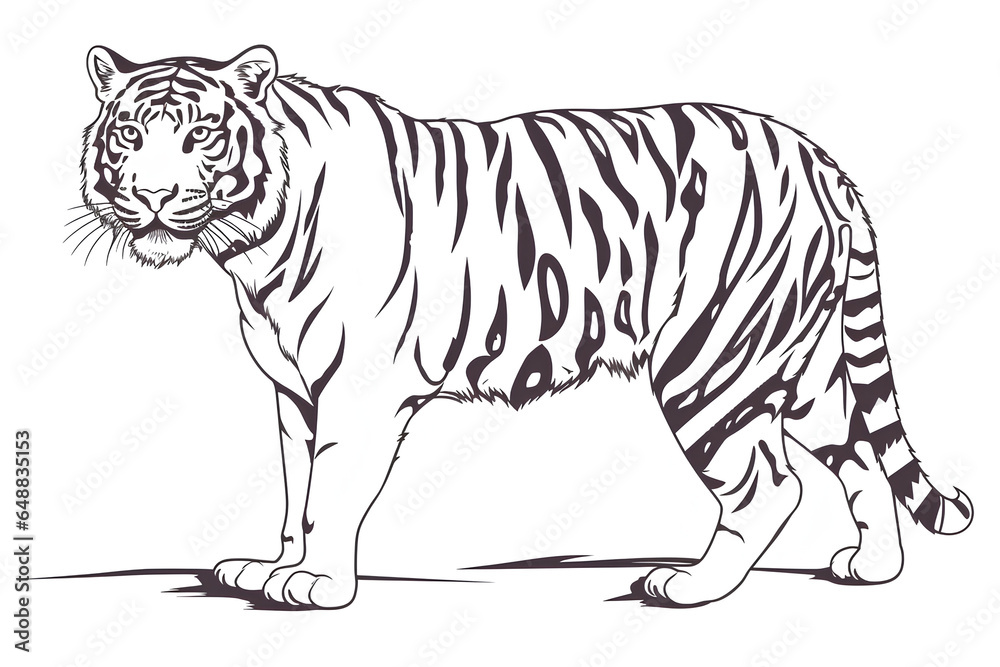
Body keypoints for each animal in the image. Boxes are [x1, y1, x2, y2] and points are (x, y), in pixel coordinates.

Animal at [76, 45, 972, 609]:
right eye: (130, 134)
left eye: (199, 135)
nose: (152, 196)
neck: (252, 249)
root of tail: (821, 158)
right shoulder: (295, 393)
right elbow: (296, 489)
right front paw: (271, 566)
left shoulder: (357, 395)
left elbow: (331, 493)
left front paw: (317, 585)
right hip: (798, 363)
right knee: (858, 452)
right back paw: (871, 567)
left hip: (707, 365)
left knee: (770, 486)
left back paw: (688, 586)